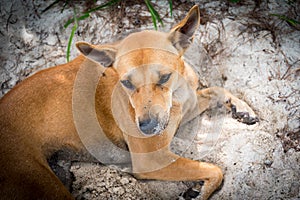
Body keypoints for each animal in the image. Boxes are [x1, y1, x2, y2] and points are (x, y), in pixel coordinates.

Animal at [0, 5, 258, 199]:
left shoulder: (186, 106)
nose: (145, 127)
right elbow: (214, 169)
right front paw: (200, 192)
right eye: (126, 83)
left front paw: (242, 108)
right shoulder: (153, 159)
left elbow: (216, 90)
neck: (177, 95)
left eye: (164, 77)